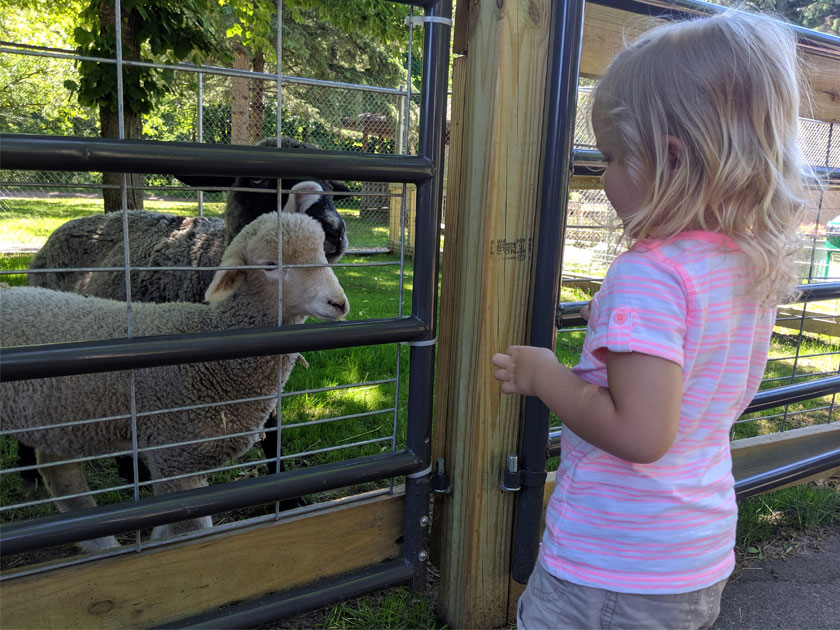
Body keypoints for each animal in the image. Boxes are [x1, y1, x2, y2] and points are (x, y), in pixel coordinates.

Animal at [0, 214, 348, 552]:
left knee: (60, 474)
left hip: (60, 420)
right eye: (270, 264)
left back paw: (102, 545)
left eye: (322, 255)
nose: (339, 303)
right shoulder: (174, 455)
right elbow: (190, 531)